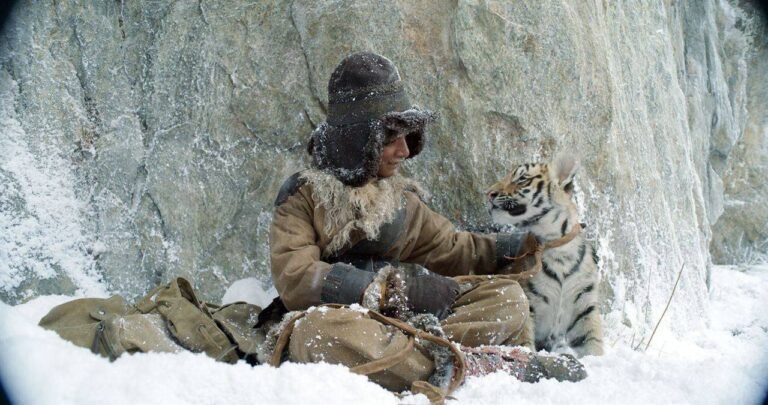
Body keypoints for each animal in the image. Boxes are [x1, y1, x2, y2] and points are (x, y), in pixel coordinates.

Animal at [486, 156, 604, 357]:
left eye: (521, 179)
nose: (488, 193)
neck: (557, 247)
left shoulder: (584, 306)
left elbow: (593, 339)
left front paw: (596, 359)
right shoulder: (528, 299)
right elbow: (524, 336)